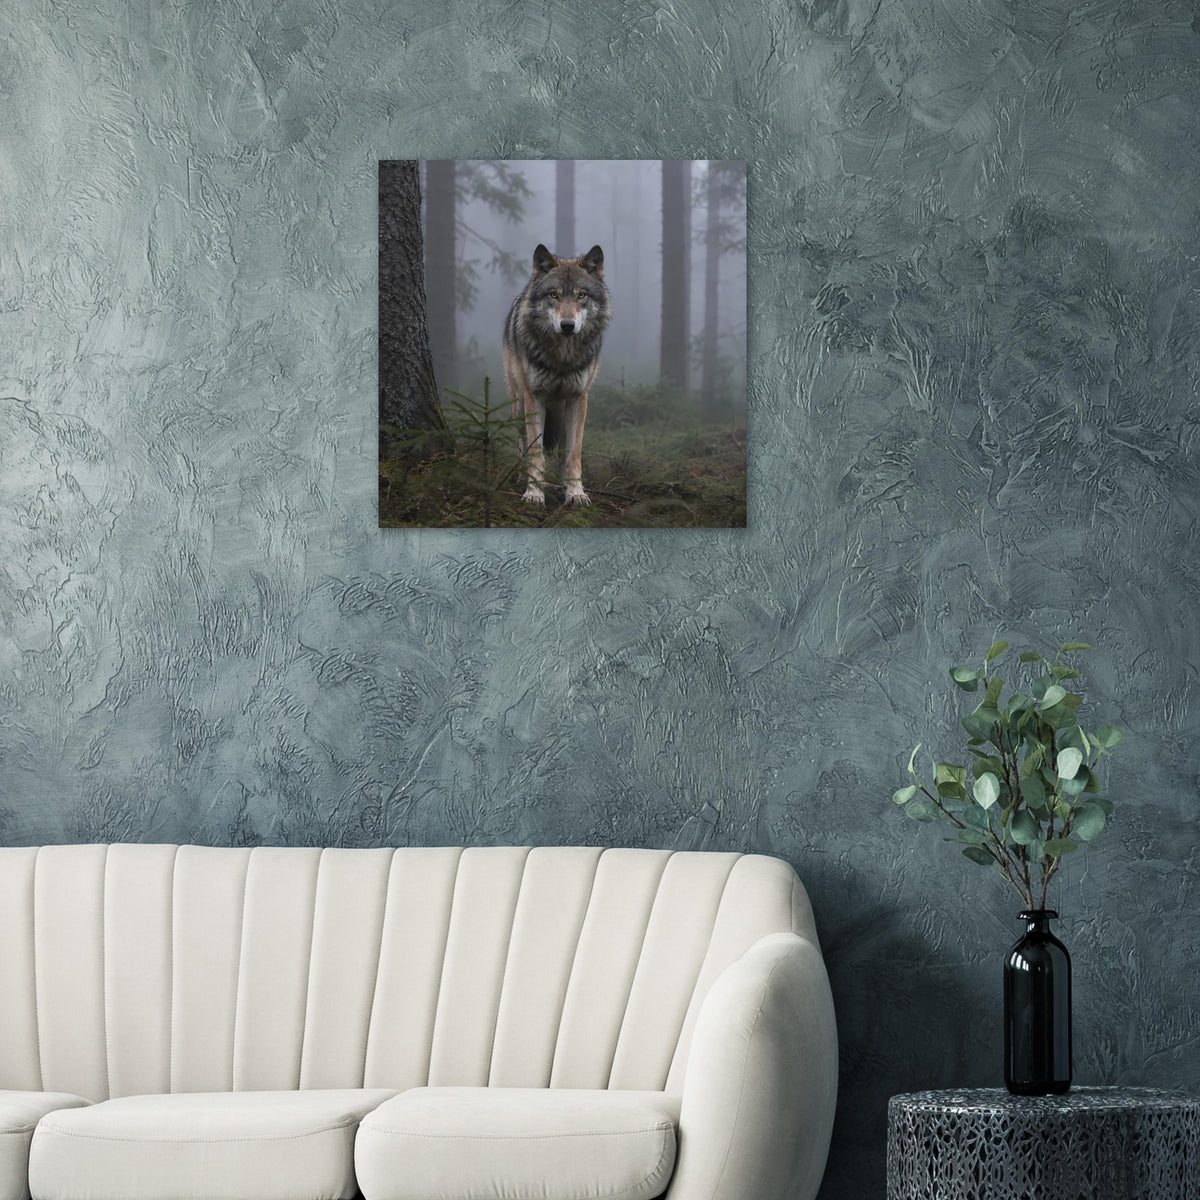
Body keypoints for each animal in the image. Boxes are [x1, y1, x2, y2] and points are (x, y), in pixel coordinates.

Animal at [502, 243, 611, 506]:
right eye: (554, 295)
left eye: (581, 295)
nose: (567, 325)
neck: (562, 358)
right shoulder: (534, 396)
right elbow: (536, 452)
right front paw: (534, 492)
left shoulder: (578, 397)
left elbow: (573, 454)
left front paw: (575, 492)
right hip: (519, 405)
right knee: (522, 444)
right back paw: (520, 477)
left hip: (561, 412)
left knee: (562, 450)